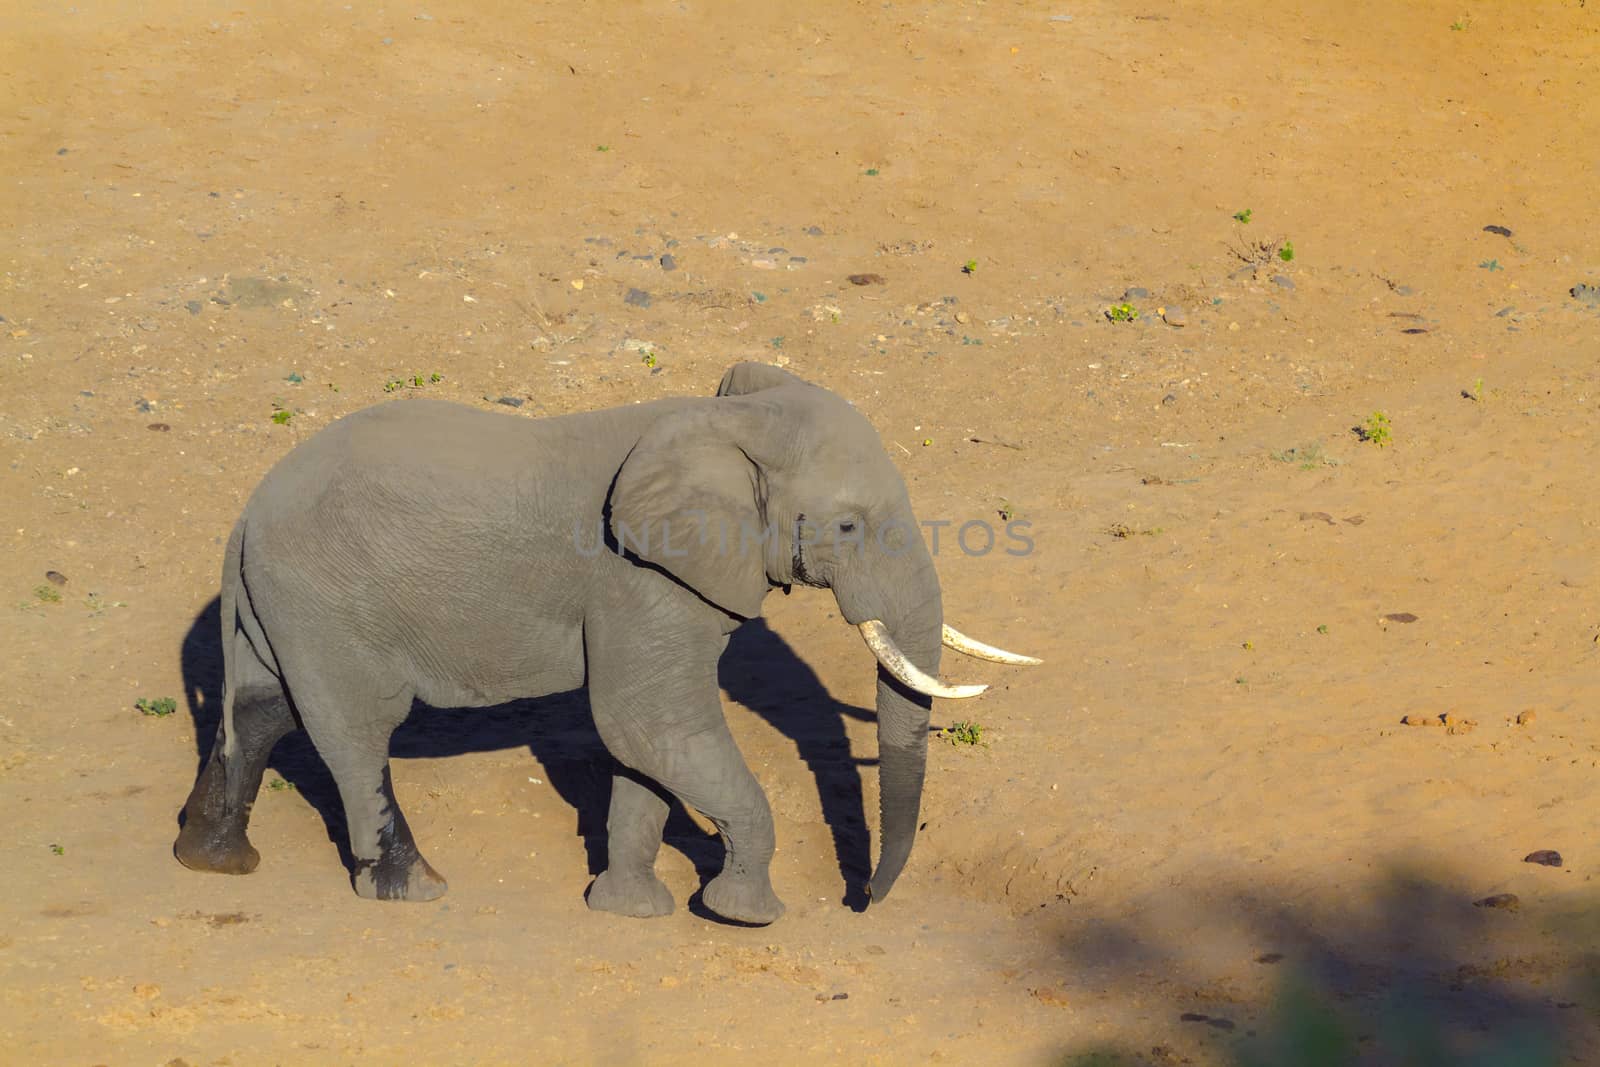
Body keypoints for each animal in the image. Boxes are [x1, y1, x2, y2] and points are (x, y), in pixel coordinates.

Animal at [175, 361, 1036, 927]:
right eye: (849, 526)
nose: (863, 904)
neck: (726, 421)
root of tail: (246, 514)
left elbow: (643, 747)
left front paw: (631, 912)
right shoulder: (637, 573)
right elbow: (647, 722)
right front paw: (745, 915)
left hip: (285, 604)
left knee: (261, 709)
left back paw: (213, 859)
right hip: (327, 598)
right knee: (355, 730)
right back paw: (414, 889)